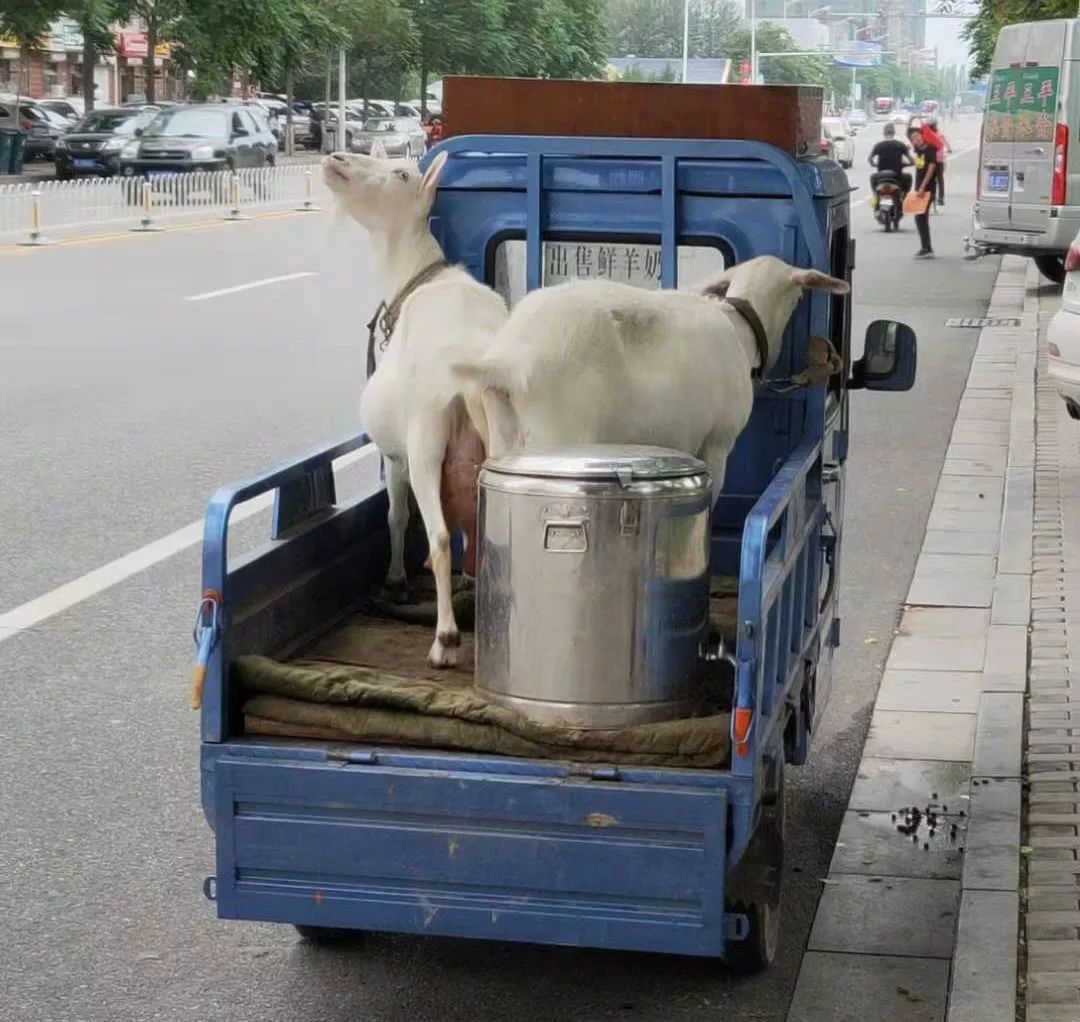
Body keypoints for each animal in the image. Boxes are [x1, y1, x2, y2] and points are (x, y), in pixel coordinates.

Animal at [321, 146, 507, 665]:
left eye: (402, 174)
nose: (336, 158)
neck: (415, 278)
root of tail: (472, 383)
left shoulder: (395, 454)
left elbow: (397, 515)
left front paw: (396, 578)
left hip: (426, 439)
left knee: (440, 536)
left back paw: (445, 640)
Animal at [451, 254, 846, 501]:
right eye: (799, 293)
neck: (742, 326)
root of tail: (508, 361)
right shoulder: (717, 443)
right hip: (557, 435)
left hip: (501, 436)